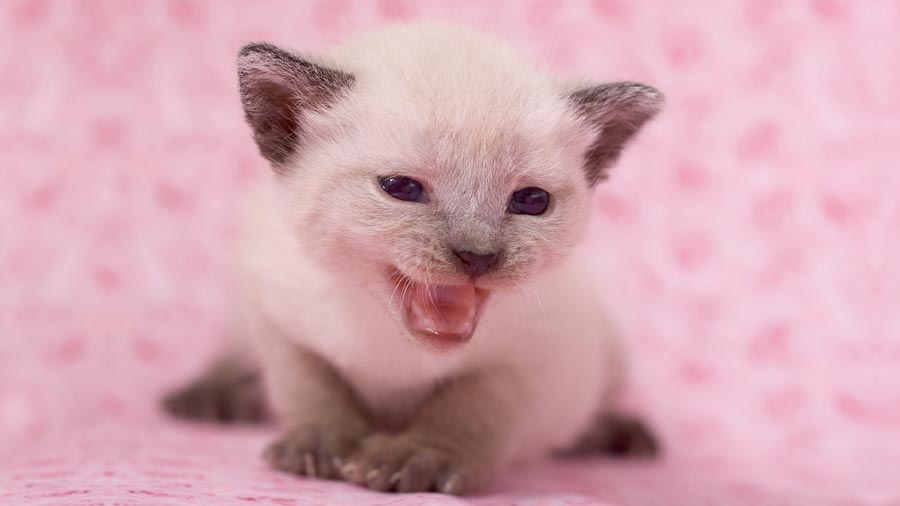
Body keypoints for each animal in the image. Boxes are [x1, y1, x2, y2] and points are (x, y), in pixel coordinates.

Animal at [165, 23, 664, 494]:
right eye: (401, 188)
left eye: (531, 201)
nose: (477, 256)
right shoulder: (277, 316)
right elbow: (312, 386)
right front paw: (322, 444)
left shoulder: (532, 354)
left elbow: (468, 407)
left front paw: (416, 458)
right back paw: (211, 396)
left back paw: (618, 433)